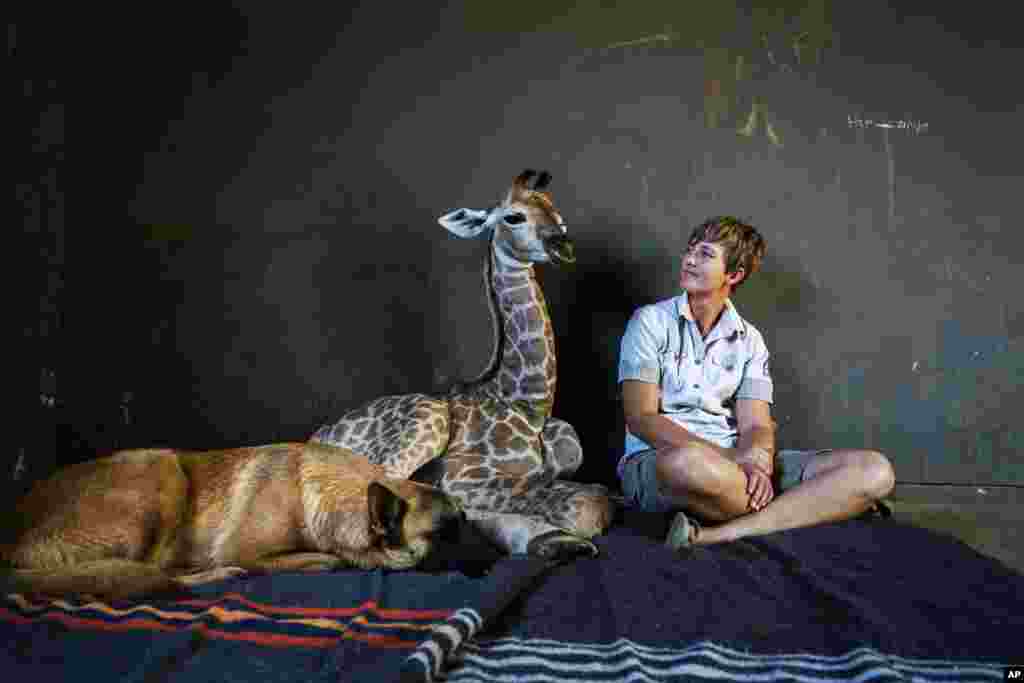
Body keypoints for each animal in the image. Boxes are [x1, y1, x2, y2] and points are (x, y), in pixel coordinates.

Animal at [0, 444, 473, 598]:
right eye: (444, 534)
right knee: (156, 573)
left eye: (465, 520)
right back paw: (213, 574)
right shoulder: (250, 551)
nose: (484, 548)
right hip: (161, 469)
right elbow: (332, 560)